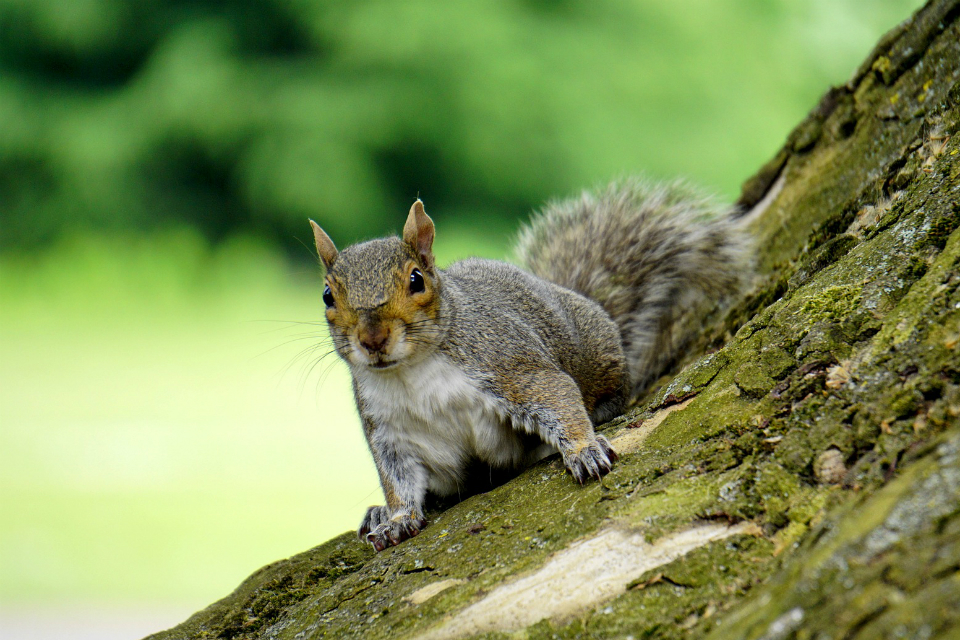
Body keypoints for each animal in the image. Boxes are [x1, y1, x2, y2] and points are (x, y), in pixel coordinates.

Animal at [309, 178, 750, 552]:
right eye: (328, 295)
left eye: (417, 280)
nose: (372, 339)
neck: (411, 372)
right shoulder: (390, 430)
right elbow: (397, 479)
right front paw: (397, 518)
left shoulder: (508, 364)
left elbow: (557, 395)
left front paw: (584, 450)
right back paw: (378, 513)